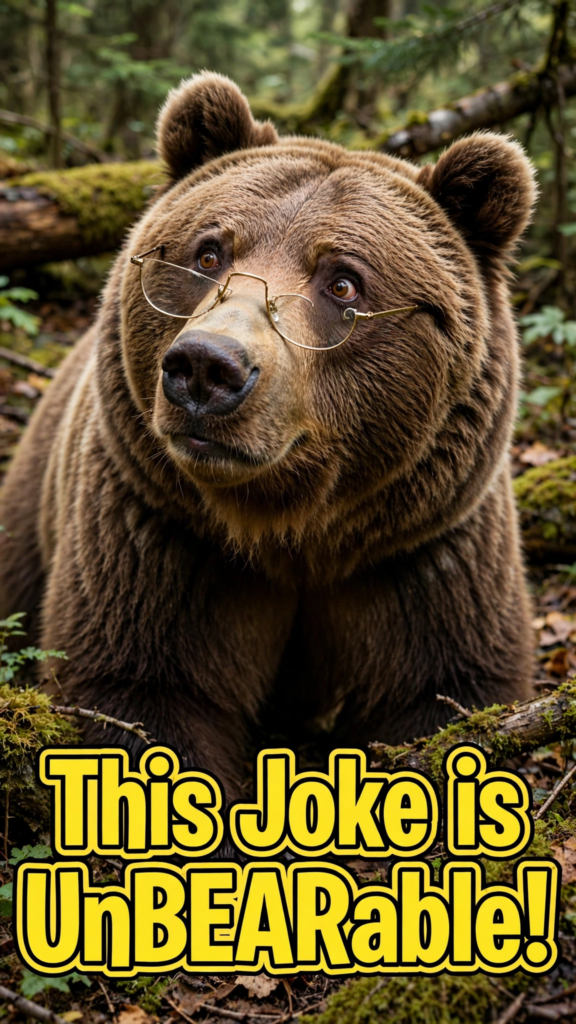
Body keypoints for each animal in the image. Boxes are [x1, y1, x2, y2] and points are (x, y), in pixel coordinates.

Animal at [0, 72, 536, 796]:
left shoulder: (426, 549)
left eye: (344, 281)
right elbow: (142, 695)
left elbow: (443, 692)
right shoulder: (158, 533)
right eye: (208, 251)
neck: (292, 530)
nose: (206, 367)